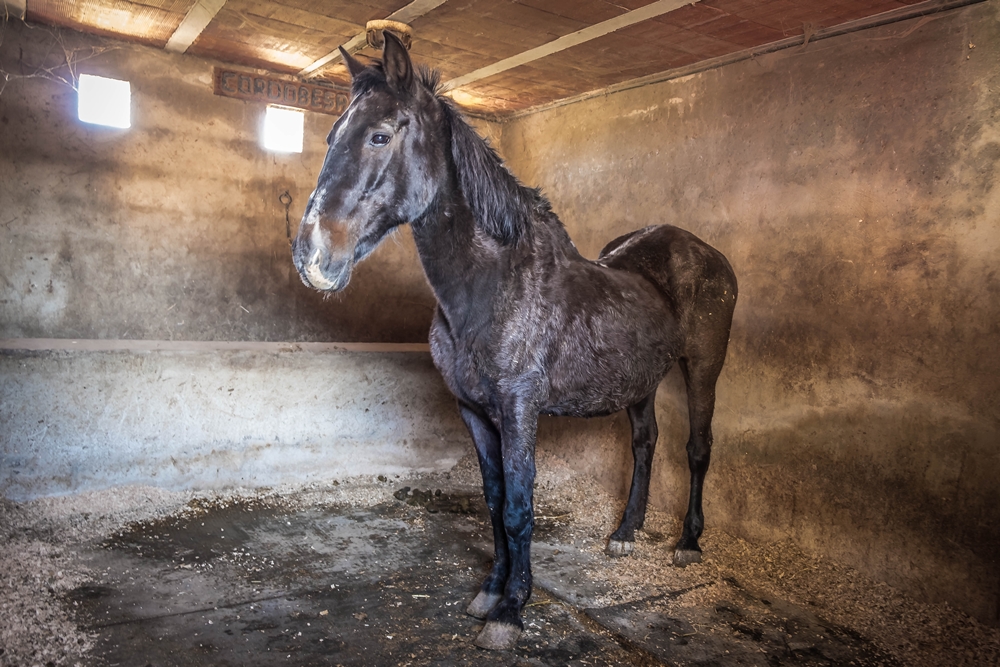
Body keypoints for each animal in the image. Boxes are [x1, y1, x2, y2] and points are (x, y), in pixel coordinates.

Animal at [291, 32, 738, 651]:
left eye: (380, 135)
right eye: (333, 135)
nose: (311, 255)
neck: (493, 283)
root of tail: (705, 251)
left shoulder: (519, 407)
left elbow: (520, 505)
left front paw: (511, 610)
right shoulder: (473, 409)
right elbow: (494, 497)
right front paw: (489, 592)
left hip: (703, 366)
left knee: (697, 447)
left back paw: (688, 543)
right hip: (640, 382)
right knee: (645, 444)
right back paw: (625, 532)